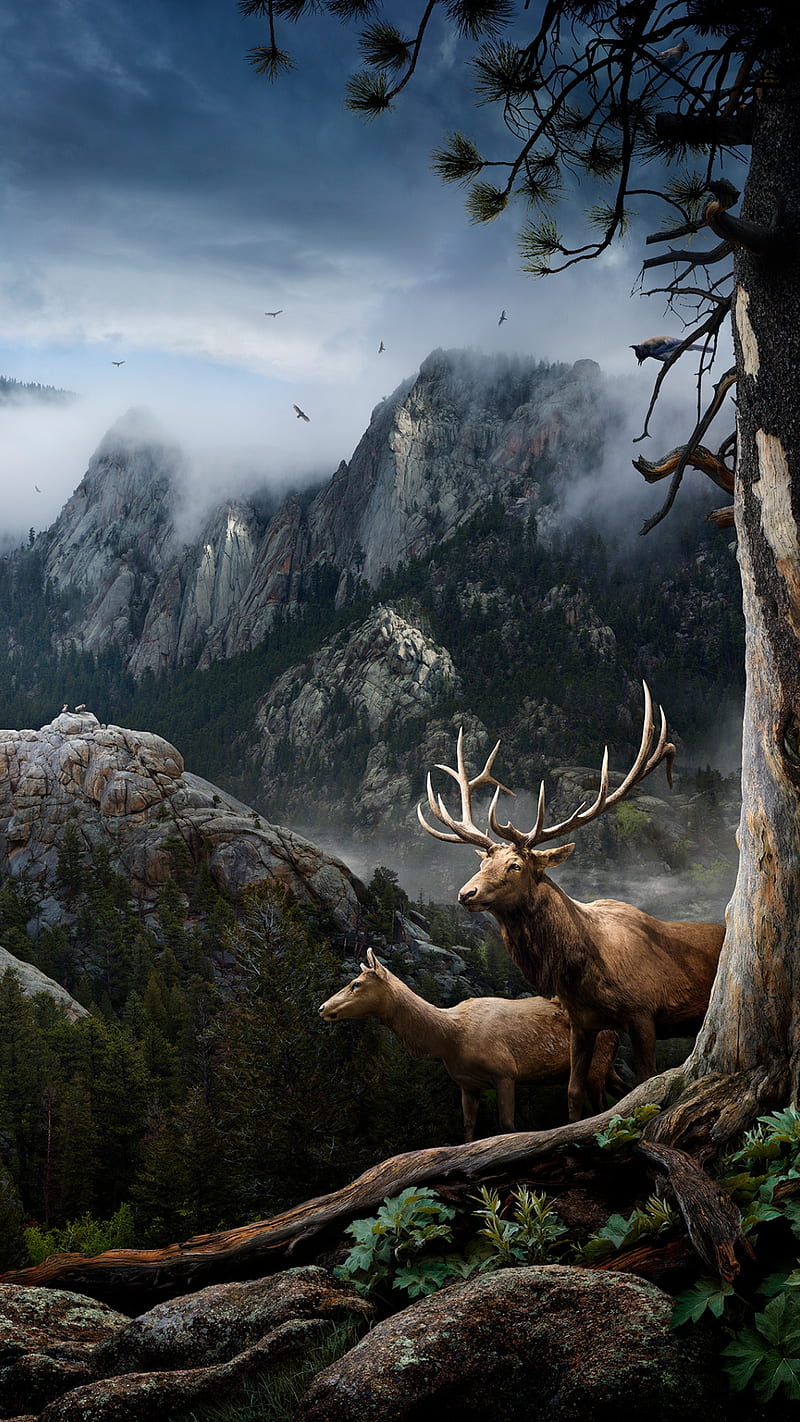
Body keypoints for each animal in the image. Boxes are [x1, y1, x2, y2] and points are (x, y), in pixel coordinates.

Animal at [319, 947, 621, 1141]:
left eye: (356, 984)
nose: (322, 1007)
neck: (451, 1038)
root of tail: (615, 1030)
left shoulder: (505, 1072)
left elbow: (507, 1125)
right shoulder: (467, 1085)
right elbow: (467, 1130)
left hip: (596, 1064)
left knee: (602, 1106)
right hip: (608, 1066)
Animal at [417, 683, 725, 1122]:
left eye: (515, 865)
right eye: (482, 862)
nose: (466, 894)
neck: (585, 972)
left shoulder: (644, 1013)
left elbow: (645, 1082)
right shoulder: (583, 1023)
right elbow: (574, 1092)